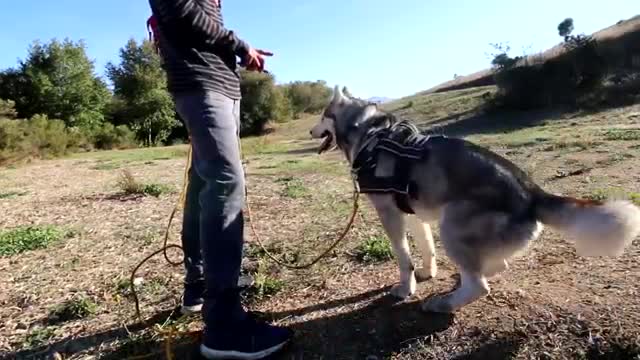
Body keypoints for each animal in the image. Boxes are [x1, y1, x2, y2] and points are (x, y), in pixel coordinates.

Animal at [310, 86, 640, 314]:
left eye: (322, 115)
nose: (312, 130)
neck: (370, 133)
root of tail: (532, 192)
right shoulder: (413, 212)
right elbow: (426, 248)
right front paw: (428, 273)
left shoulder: (390, 214)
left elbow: (403, 258)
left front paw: (406, 288)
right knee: (493, 267)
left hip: (451, 226)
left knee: (481, 284)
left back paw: (443, 304)